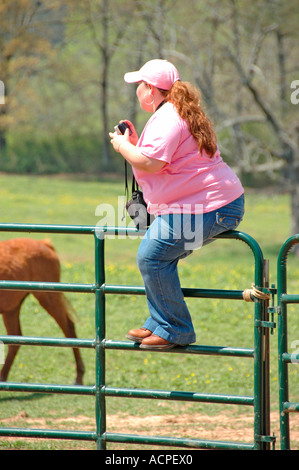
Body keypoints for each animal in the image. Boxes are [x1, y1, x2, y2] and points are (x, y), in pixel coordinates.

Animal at [0, 239, 85, 386]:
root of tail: (44, 243)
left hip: (48, 297)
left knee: (69, 328)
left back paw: (78, 377)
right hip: (12, 308)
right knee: (14, 339)